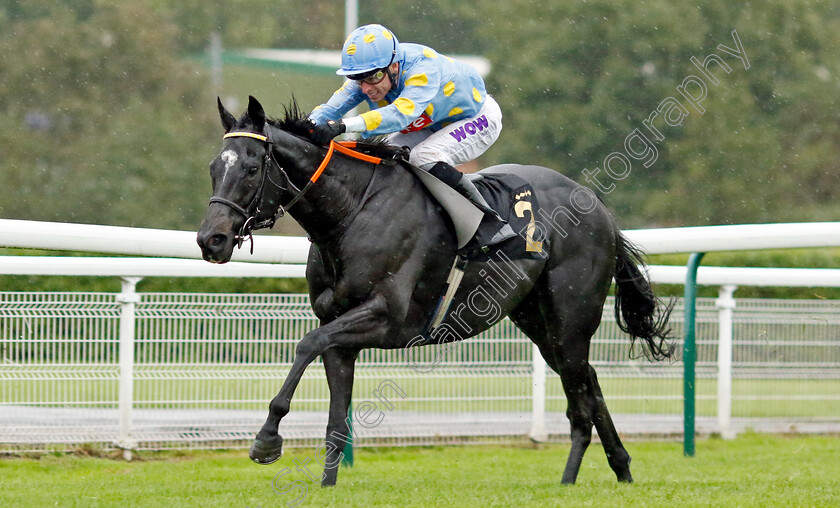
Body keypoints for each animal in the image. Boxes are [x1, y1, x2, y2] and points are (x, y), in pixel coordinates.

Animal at [194, 97, 672, 486]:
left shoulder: (385, 318)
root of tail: (599, 206)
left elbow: (306, 345)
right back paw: (622, 469)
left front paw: (266, 439)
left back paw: (570, 480)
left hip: (569, 321)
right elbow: (335, 413)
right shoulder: (338, 328)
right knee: (589, 384)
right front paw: (326, 484)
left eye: (251, 168)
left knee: (581, 403)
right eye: (214, 168)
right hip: (539, 323)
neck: (351, 212)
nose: (210, 240)